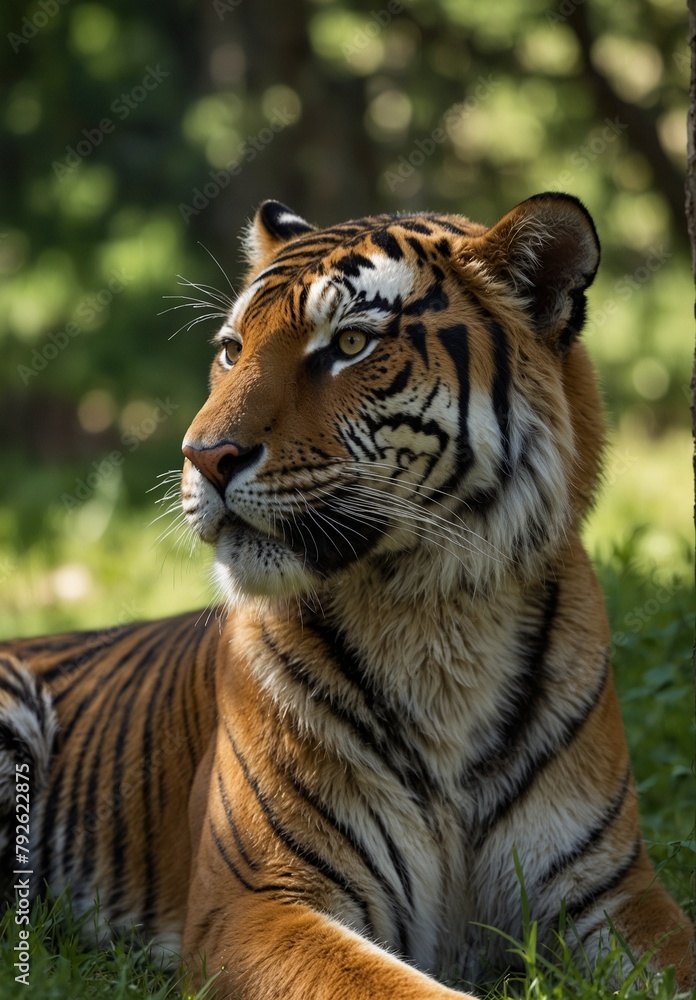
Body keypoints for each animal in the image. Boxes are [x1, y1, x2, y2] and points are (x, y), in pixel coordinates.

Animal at [0, 193, 691, 1000]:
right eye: (232, 349)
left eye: (352, 343)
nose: (202, 457)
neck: (438, 621)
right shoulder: (258, 900)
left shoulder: (612, 893)